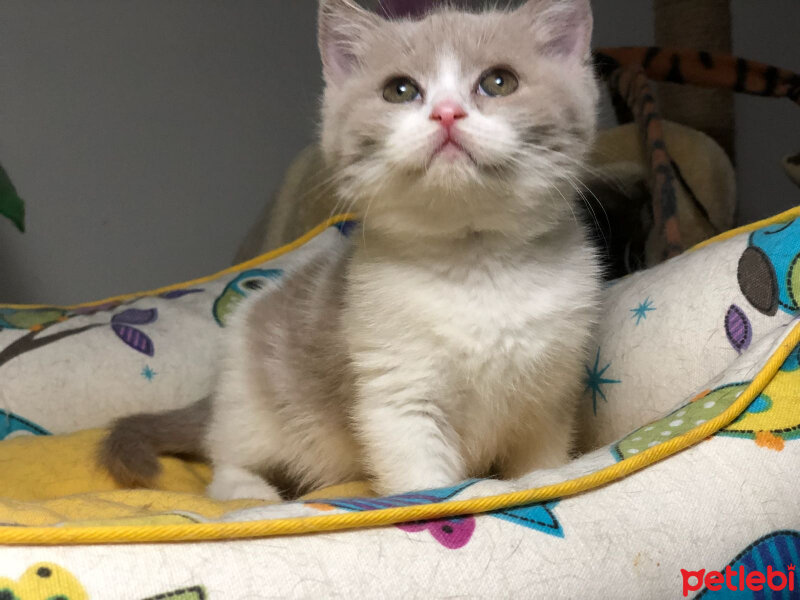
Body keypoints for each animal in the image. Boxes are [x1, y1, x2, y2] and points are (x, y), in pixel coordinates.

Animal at [100, 0, 600, 500]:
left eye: (499, 82)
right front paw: (441, 504)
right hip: (254, 409)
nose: (447, 113)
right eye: (400, 90)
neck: (475, 267)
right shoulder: (396, 394)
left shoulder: (549, 398)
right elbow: (423, 482)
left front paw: (544, 481)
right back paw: (249, 492)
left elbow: (542, 464)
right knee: (226, 461)